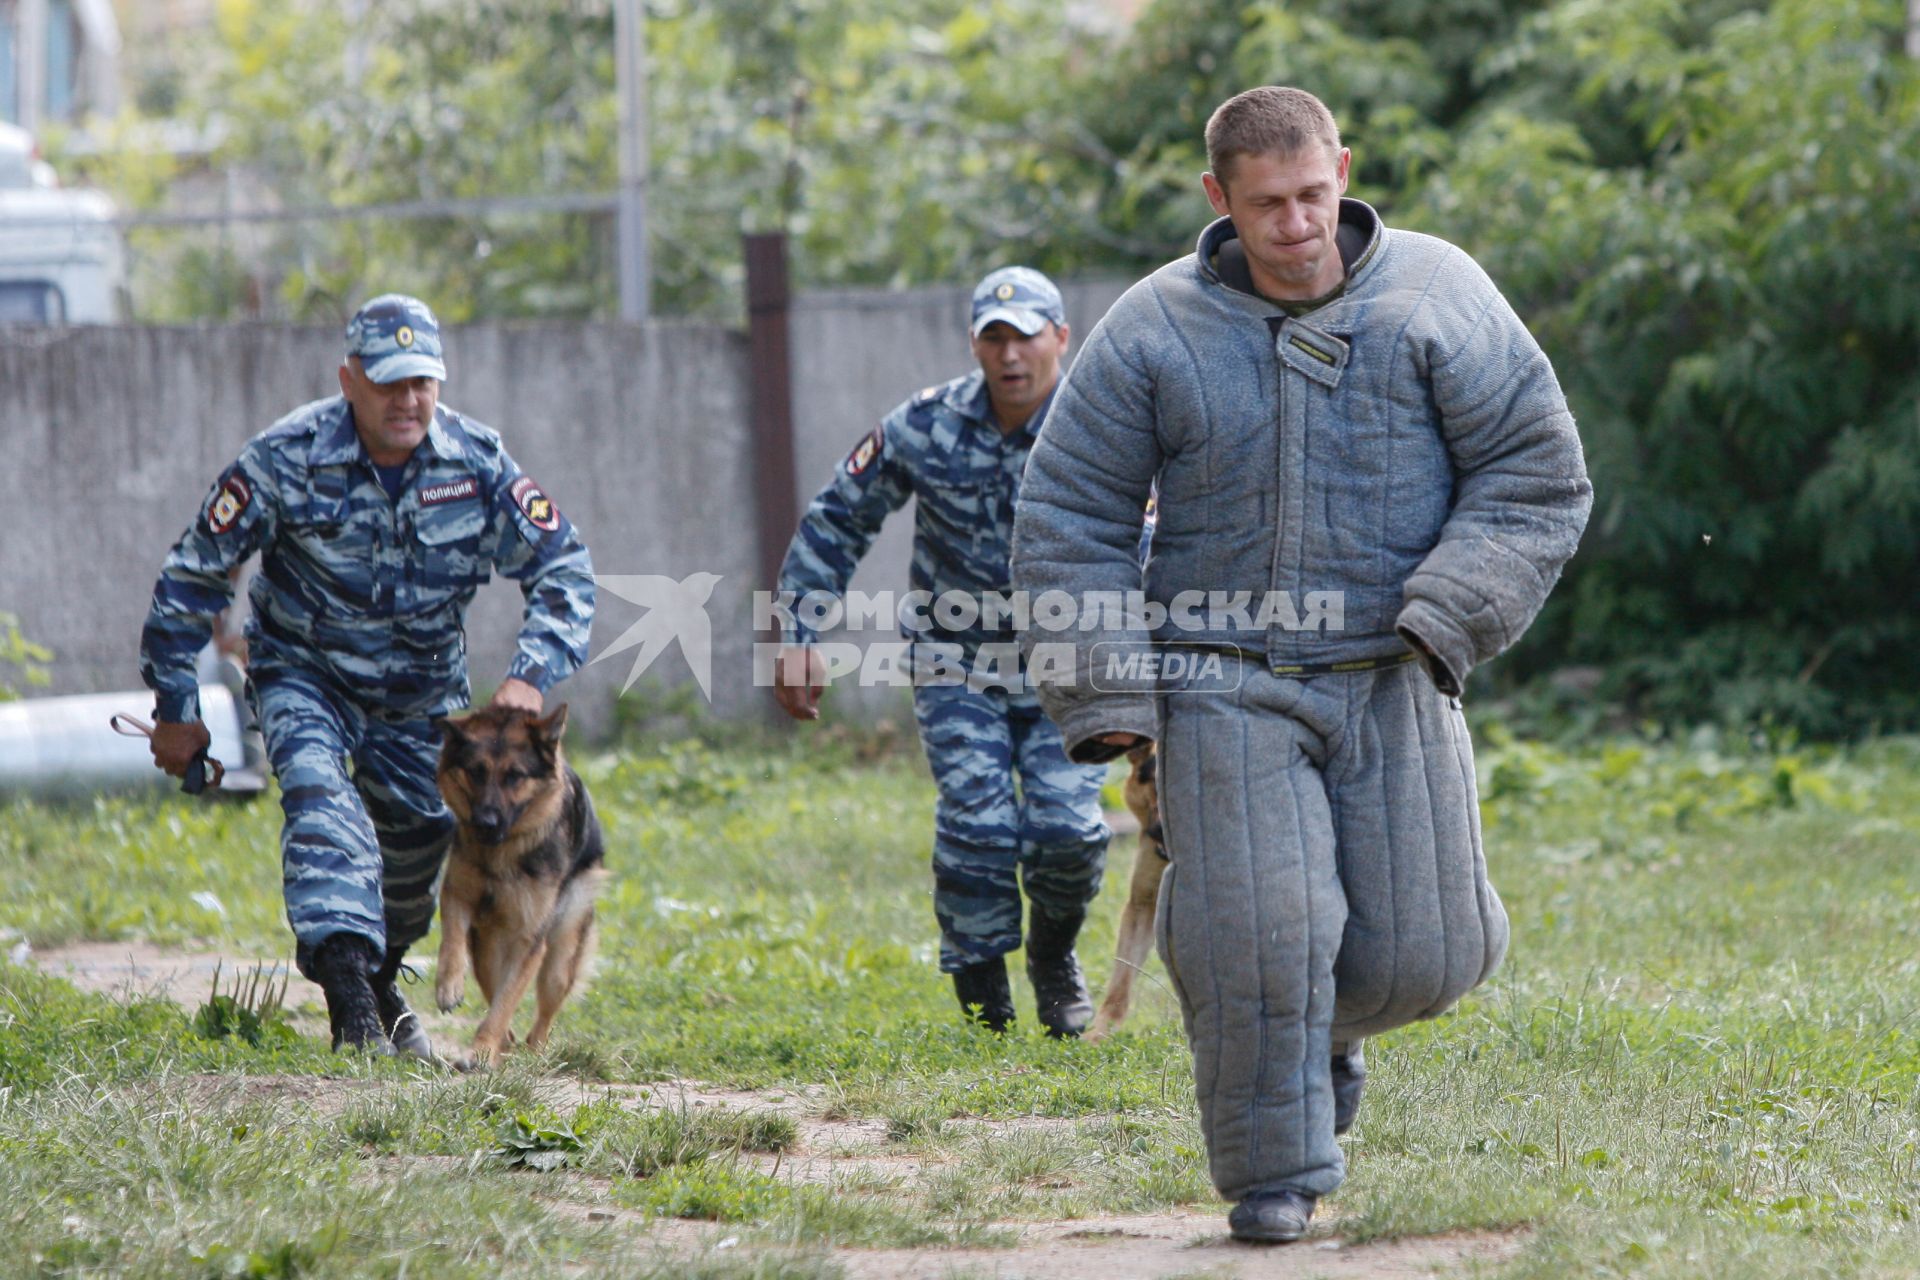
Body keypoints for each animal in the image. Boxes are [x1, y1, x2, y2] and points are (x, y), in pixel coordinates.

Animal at [432, 706, 602, 1066]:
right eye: (476, 772)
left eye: (515, 776)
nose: (486, 822)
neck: (500, 855)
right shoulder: (457, 895)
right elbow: (452, 942)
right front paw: (448, 986)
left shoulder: (529, 939)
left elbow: (505, 1002)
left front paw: (481, 1050)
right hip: (485, 945)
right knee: (490, 980)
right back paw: (506, 1043)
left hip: (559, 959)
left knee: (544, 1014)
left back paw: (533, 1052)